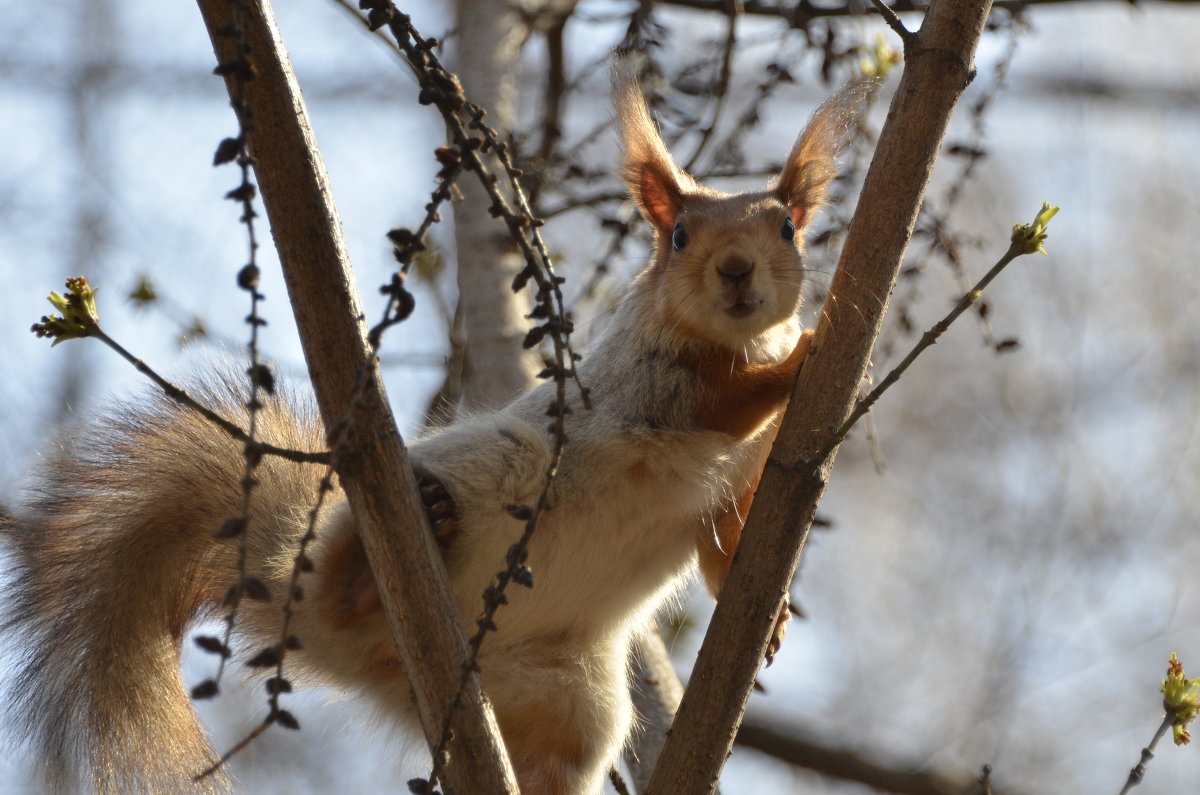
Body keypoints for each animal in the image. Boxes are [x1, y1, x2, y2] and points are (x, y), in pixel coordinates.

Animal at [0, 65, 864, 792]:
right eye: (680, 236)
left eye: (786, 229)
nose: (735, 270)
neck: (734, 339)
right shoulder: (646, 389)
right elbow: (723, 400)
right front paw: (806, 352)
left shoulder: (742, 477)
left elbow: (725, 540)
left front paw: (765, 610)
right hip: (483, 472)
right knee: (353, 575)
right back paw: (380, 560)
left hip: (568, 698)